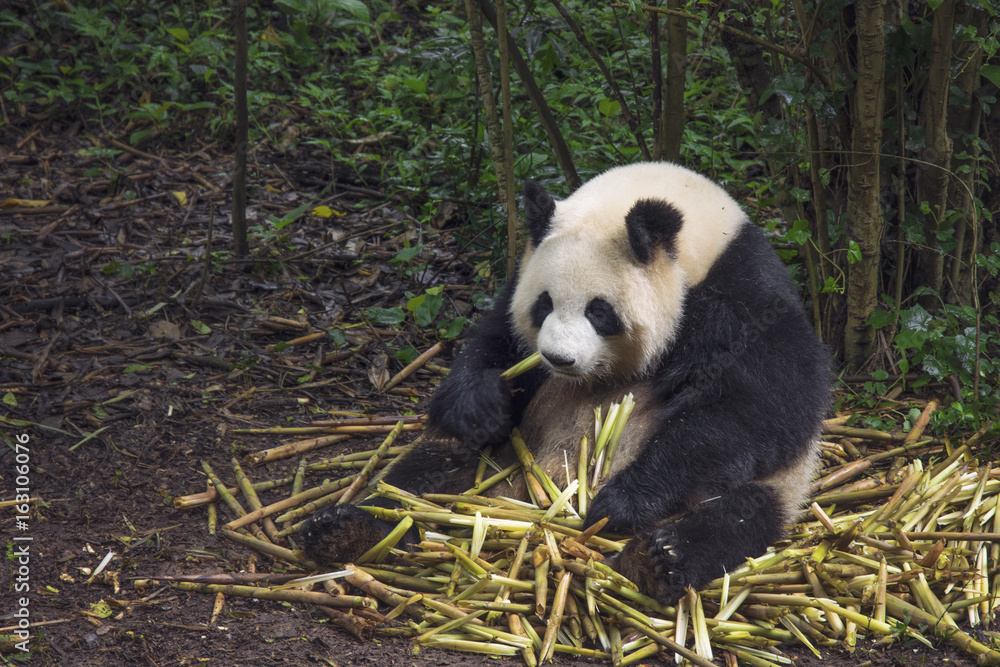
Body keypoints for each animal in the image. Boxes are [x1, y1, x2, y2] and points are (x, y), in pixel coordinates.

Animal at [300, 162, 831, 604]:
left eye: (600, 311)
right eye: (544, 304)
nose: (559, 358)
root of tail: (526, 495)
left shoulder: (748, 300)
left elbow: (759, 409)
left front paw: (619, 502)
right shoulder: (516, 286)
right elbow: (495, 342)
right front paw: (481, 405)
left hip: (770, 489)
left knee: (733, 516)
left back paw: (657, 559)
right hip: (499, 458)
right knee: (423, 477)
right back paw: (346, 528)